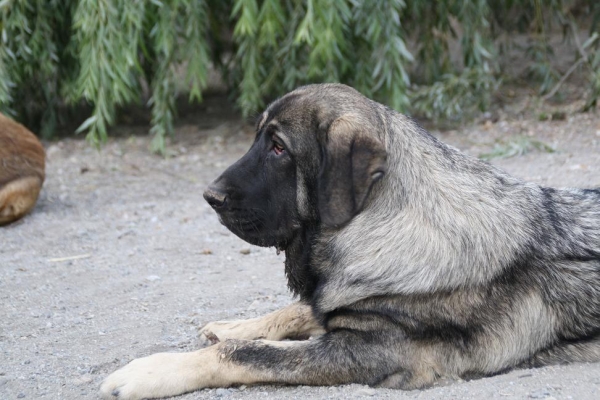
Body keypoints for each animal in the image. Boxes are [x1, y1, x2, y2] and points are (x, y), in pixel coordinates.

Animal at [102, 83, 600, 398]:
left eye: (279, 148)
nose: (211, 197)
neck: (375, 222)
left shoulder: (373, 350)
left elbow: (250, 353)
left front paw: (155, 369)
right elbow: (296, 310)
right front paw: (238, 324)